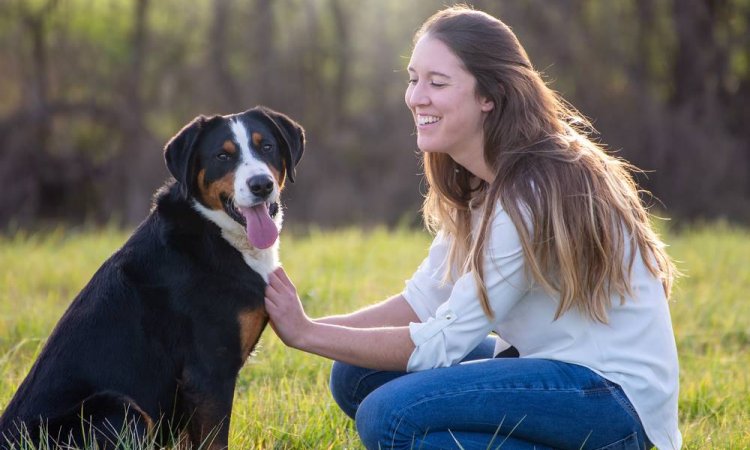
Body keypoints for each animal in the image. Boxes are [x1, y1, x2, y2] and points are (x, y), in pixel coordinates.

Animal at [0, 106, 306, 450]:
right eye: (222, 156)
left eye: (266, 146)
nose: (261, 184)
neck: (214, 232)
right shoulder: (208, 372)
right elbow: (214, 441)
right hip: (119, 408)